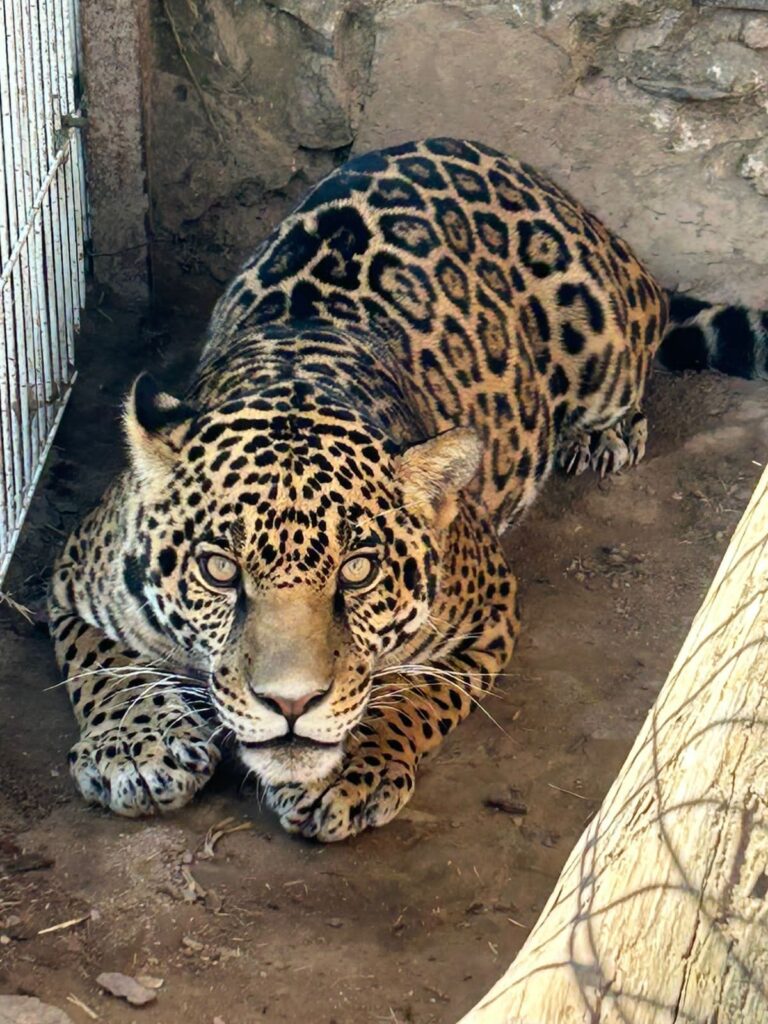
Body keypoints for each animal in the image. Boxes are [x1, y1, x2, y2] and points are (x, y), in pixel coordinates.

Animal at [48, 138, 768, 841]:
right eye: (220, 570)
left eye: (358, 571)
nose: (289, 703)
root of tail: (542, 180)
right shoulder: (71, 580)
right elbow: (101, 663)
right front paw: (134, 747)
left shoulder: (488, 611)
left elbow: (417, 692)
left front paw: (350, 769)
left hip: (600, 340)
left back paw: (600, 438)